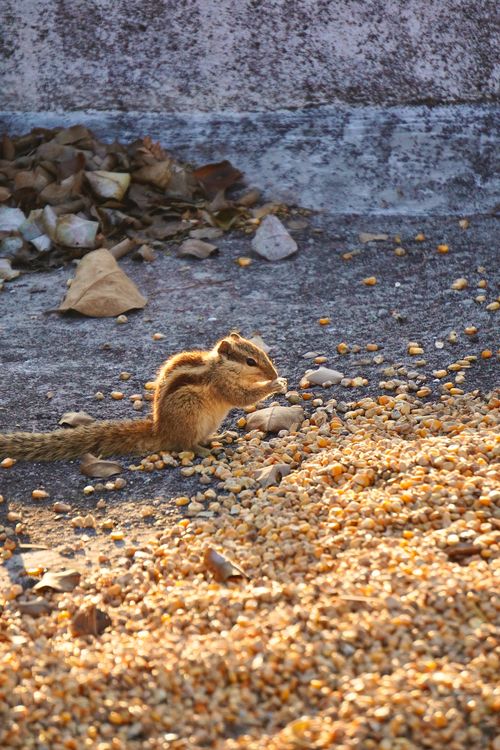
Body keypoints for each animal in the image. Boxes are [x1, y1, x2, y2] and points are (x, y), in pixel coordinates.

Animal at [0, 333, 287, 462]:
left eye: (262, 354)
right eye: (250, 361)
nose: (273, 372)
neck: (220, 367)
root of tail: (160, 430)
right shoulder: (223, 385)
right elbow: (242, 397)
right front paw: (275, 384)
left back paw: (218, 437)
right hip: (190, 416)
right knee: (184, 444)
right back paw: (204, 450)